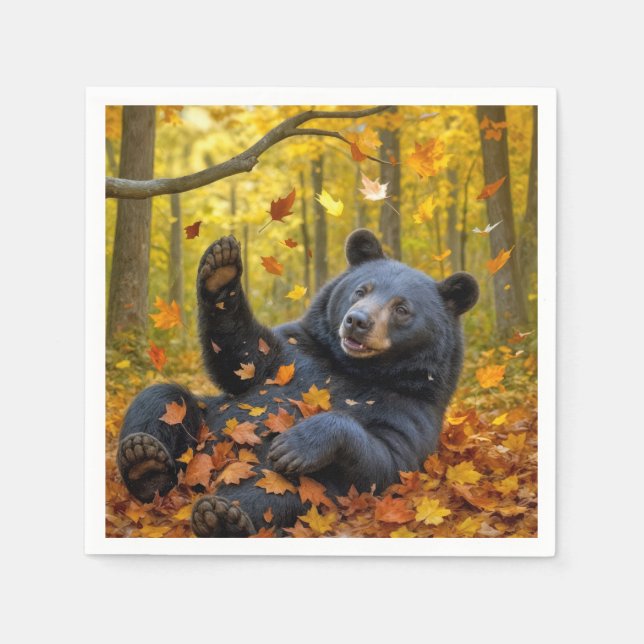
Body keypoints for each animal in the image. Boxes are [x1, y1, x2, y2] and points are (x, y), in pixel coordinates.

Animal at [117, 229, 478, 537]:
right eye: (361, 290)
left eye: (402, 308)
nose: (356, 321)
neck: (351, 367)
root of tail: (197, 483)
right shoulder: (294, 352)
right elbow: (241, 355)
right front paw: (221, 266)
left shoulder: (409, 407)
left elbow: (384, 461)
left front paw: (296, 443)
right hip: (199, 425)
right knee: (161, 398)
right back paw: (144, 461)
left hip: (310, 487)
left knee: (276, 491)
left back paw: (221, 517)